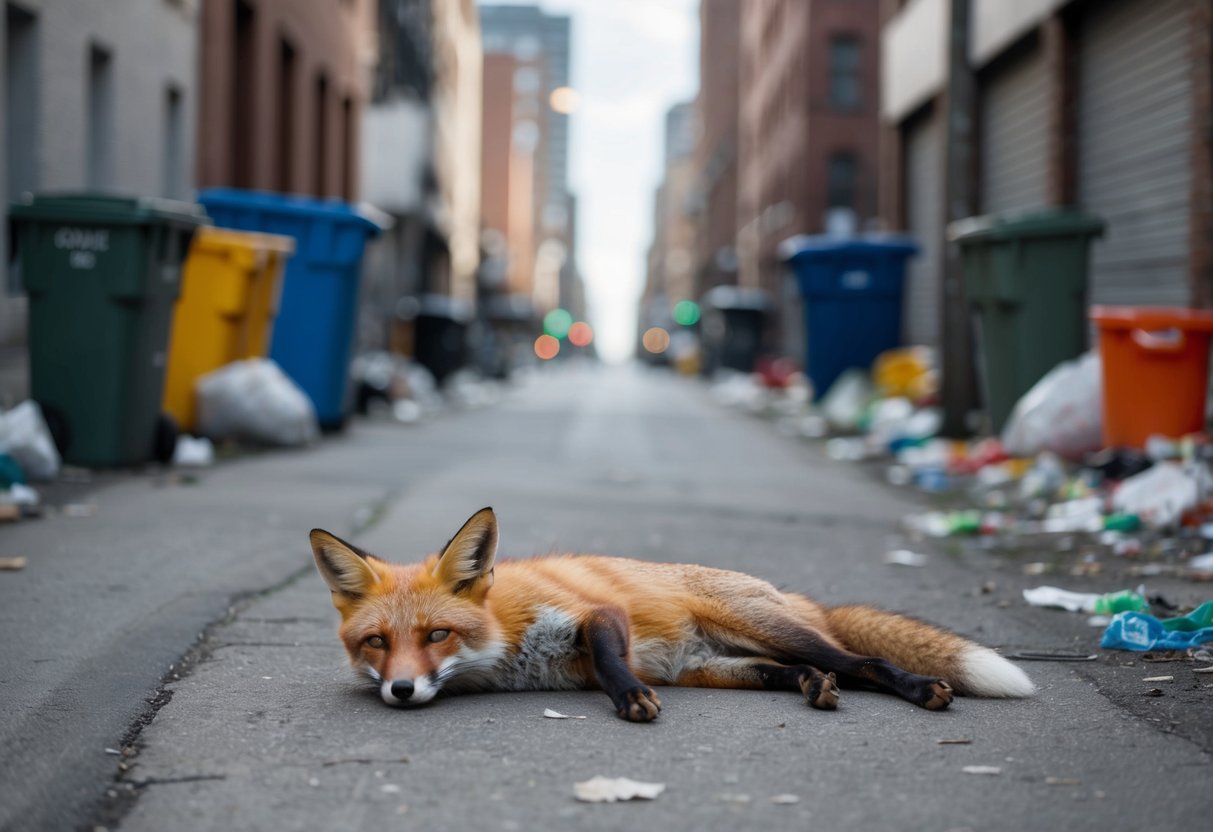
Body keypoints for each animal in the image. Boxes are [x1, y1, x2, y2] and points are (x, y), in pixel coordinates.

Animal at [311, 507, 1035, 721]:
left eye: (437, 634)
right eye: (376, 643)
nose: (402, 691)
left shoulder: (593, 613)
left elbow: (610, 659)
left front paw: (631, 698)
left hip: (762, 628)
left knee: (865, 661)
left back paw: (916, 687)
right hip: (716, 668)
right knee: (793, 670)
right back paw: (810, 687)